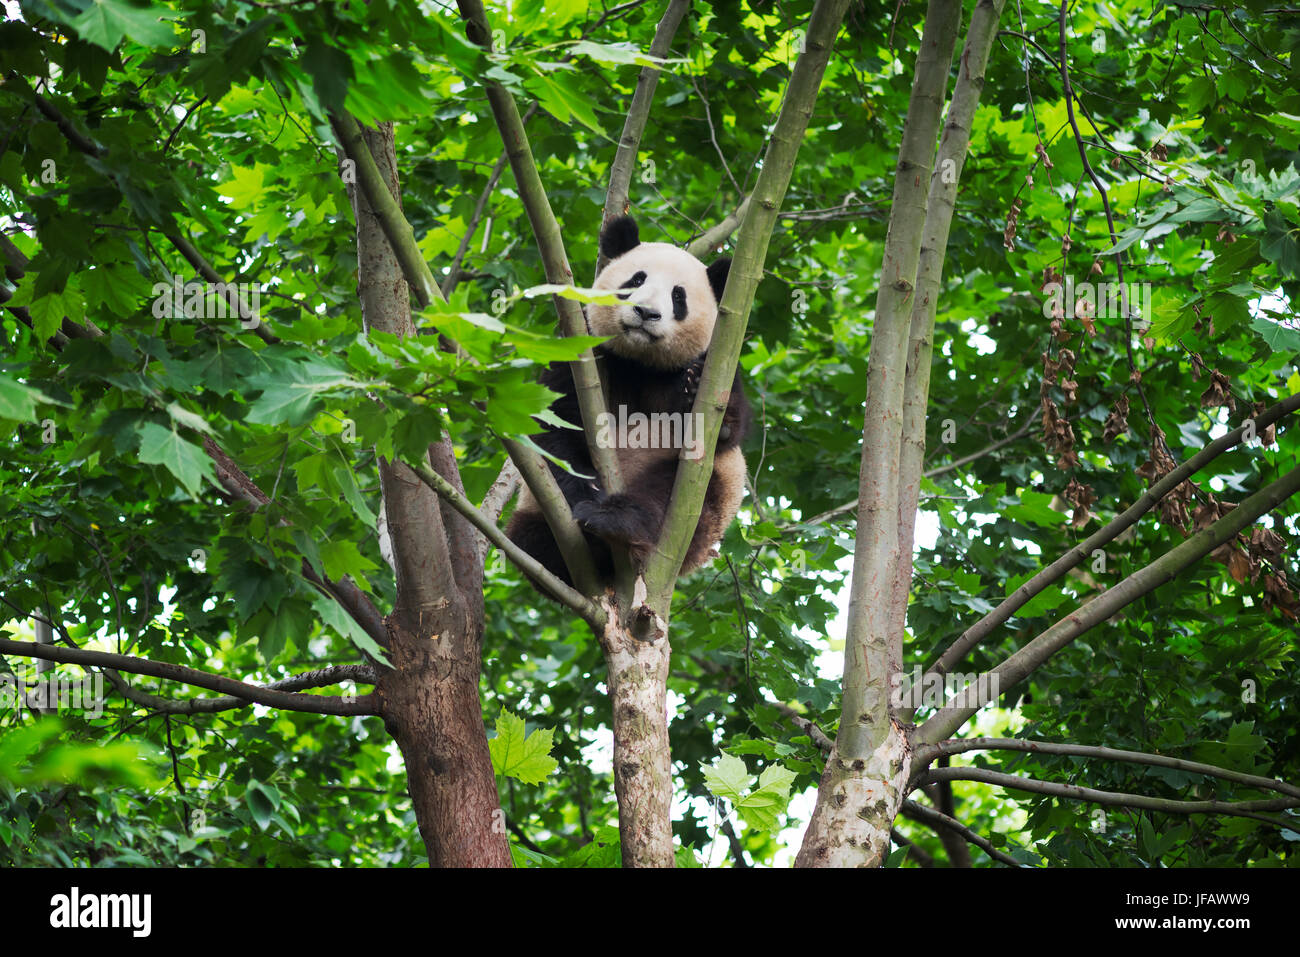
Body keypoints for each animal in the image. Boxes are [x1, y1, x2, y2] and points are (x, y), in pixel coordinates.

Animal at [505, 215, 752, 590]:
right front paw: (584, 489)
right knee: (529, 539)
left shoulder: (717, 362)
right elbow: (552, 425)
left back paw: (616, 521)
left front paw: (693, 388)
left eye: (678, 296)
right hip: (533, 512)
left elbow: (725, 431)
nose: (646, 312)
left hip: (707, 497)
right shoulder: (580, 353)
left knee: (668, 495)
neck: (639, 360)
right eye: (636, 280)